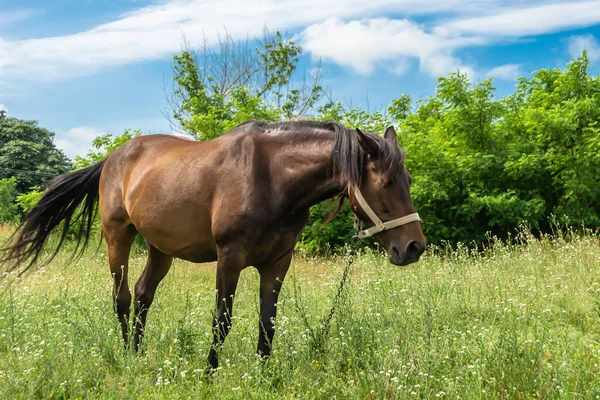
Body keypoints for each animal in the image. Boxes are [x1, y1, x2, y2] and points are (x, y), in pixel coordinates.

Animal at [0, 120, 424, 370]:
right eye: (387, 182)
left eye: (408, 179)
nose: (413, 247)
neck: (273, 178)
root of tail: (113, 158)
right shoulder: (230, 257)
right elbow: (222, 319)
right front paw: (209, 372)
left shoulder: (278, 262)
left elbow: (268, 321)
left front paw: (264, 375)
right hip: (117, 237)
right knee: (120, 297)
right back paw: (125, 356)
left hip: (160, 249)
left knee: (142, 294)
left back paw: (138, 352)